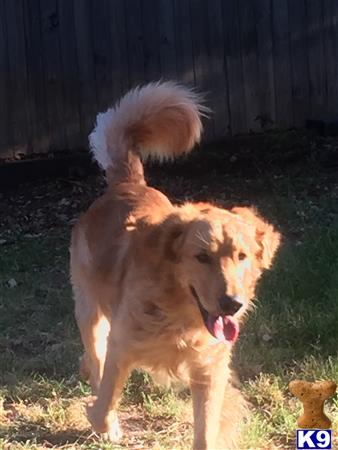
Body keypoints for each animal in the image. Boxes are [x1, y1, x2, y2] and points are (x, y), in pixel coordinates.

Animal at [69, 81, 280, 450]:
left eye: (241, 256)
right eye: (202, 257)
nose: (232, 304)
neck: (180, 312)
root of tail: (127, 184)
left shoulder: (210, 370)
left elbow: (206, 431)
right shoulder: (121, 346)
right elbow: (107, 397)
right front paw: (103, 423)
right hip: (89, 310)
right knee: (95, 355)